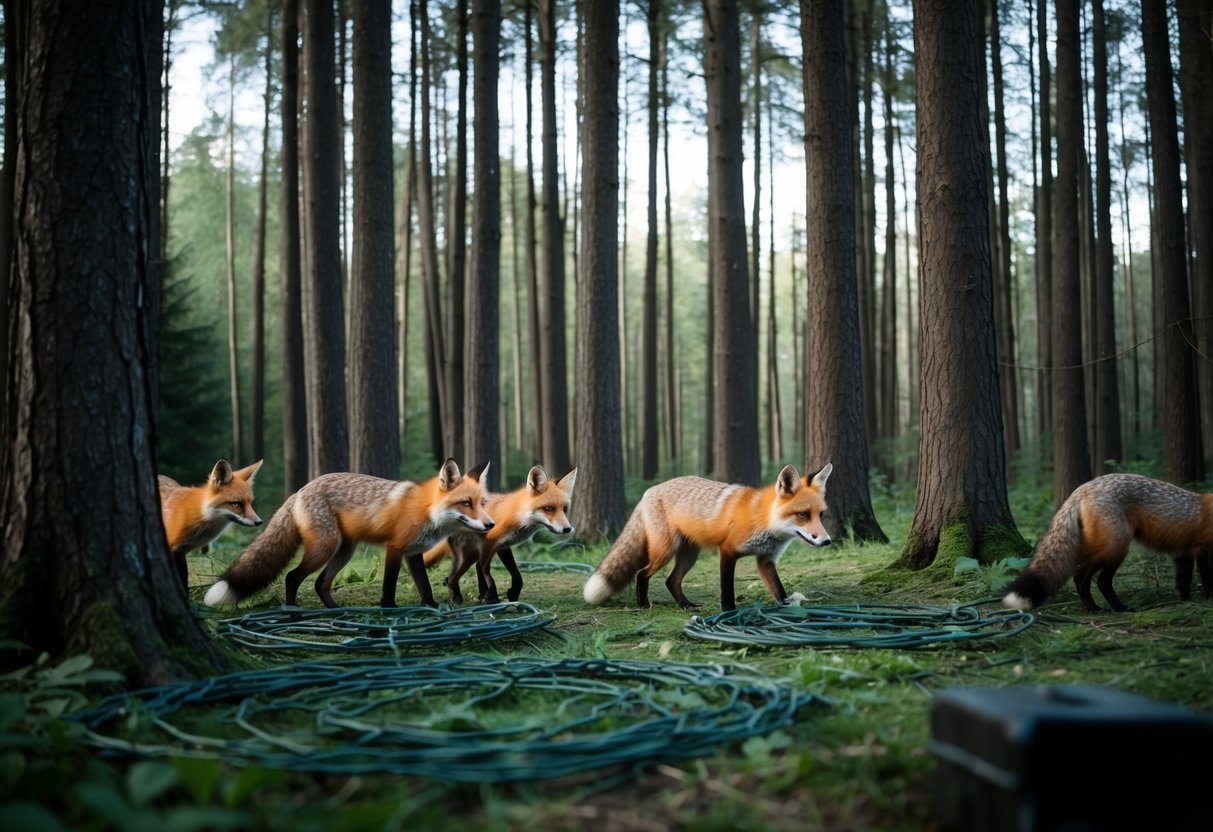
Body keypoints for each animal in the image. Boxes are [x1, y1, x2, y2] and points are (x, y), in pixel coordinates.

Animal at [158, 459, 263, 592]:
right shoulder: (172, 549)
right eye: (236, 504)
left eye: (250, 503)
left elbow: (184, 580)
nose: (259, 522)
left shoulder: (181, 552)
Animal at [203, 459, 494, 609]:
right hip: (324, 547)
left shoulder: (414, 553)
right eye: (465, 503)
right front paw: (388, 608)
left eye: (482, 503)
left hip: (344, 551)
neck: (427, 511)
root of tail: (300, 490)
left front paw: (432, 607)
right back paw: (293, 611)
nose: (490, 524)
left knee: (321, 583)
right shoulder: (395, 548)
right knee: (292, 576)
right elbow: (389, 585)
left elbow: (424, 586)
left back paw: (335, 611)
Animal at [423, 466, 577, 605]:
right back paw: (457, 598)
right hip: (468, 556)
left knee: (457, 574)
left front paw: (512, 593)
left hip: (471, 555)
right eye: (549, 508)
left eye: (565, 509)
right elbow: (487, 572)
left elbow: (517, 576)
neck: (517, 516)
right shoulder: (489, 543)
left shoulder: (503, 546)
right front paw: (493, 597)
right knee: (454, 577)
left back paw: (478, 596)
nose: (567, 529)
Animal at [583, 463, 833, 612]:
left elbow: (779, 590)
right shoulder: (728, 551)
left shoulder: (766, 560)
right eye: (802, 514)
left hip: (689, 556)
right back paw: (643, 604)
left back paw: (685, 605)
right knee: (642, 573)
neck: (763, 520)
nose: (827, 541)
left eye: (821, 515)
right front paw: (729, 613)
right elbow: (727, 590)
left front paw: (787, 609)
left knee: (671, 580)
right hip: (664, 551)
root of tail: (649, 492)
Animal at [1002, 473, 1213, 612]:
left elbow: (1183, 583)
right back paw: (1113, 608)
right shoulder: (1203, 550)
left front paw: (1186, 602)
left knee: (1084, 577)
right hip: (1116, 548)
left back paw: (1094, 606)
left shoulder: (1183, 554)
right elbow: (1207, 579)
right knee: (1092, 579)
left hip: (1100, 547)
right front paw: (1208, 601)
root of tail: (1083, 488)